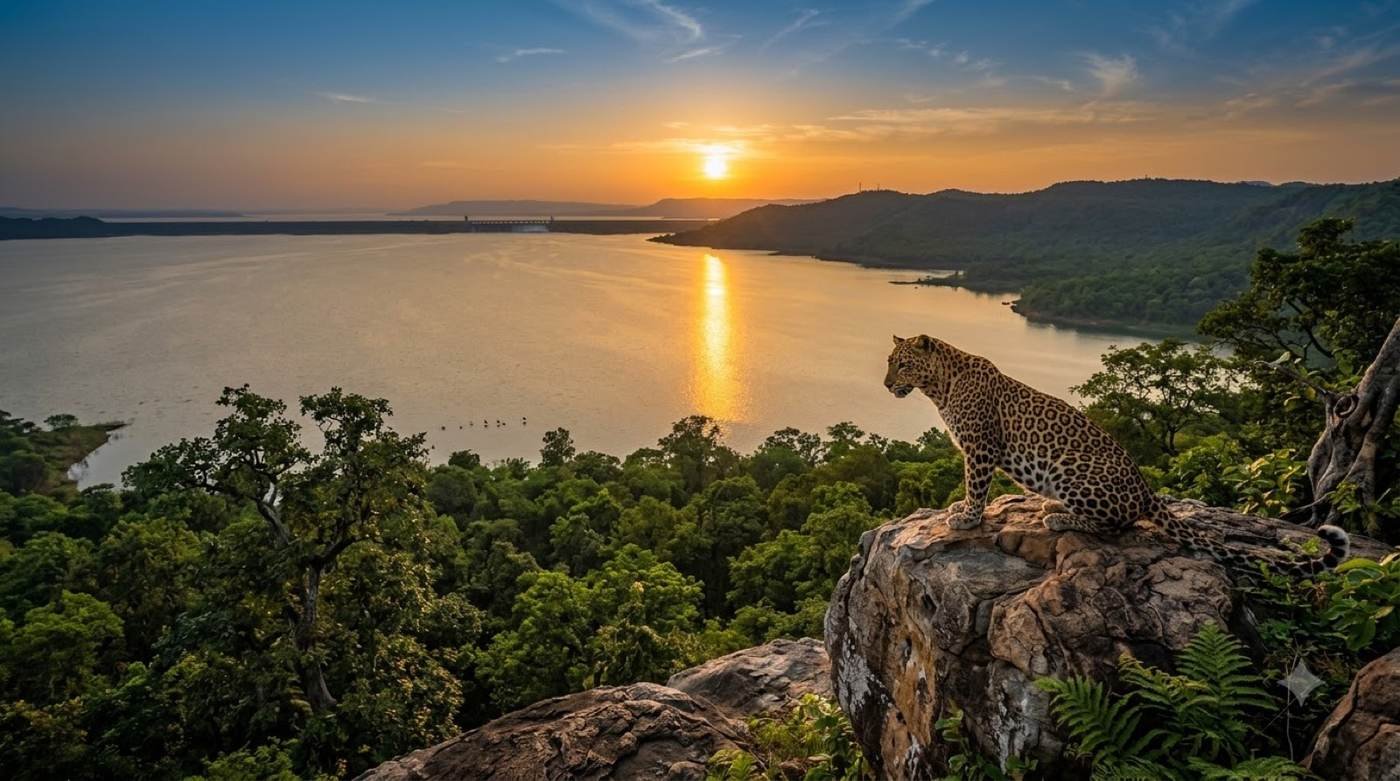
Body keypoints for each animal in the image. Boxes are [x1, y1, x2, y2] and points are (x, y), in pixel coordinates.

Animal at [884, 334, 1350, 575]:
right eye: (890, 361)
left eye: (902, 364)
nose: (887, 385)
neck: (939, 386)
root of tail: (1145, 488)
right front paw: (962, 511)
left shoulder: (981, 446)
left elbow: (976, 485)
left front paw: (967, 516)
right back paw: (1053, 507)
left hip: (1073, 468)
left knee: (1116, 522)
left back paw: (1058, 516)